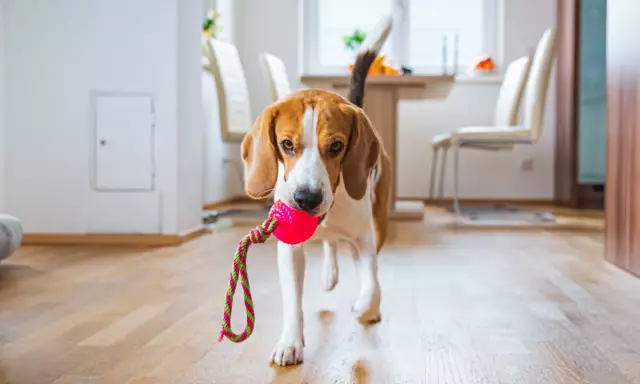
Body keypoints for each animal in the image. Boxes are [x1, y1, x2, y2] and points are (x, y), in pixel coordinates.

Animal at [240, 46, 390, 364]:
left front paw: (366, 307)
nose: (306, 198)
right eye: (286, 144)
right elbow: (292, 301)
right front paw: (290, 342)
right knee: (330, 243)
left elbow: (372, 283)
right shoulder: (290, 251)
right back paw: (329, 274)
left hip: (378, 222)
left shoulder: (364, 238)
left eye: (336, 146)